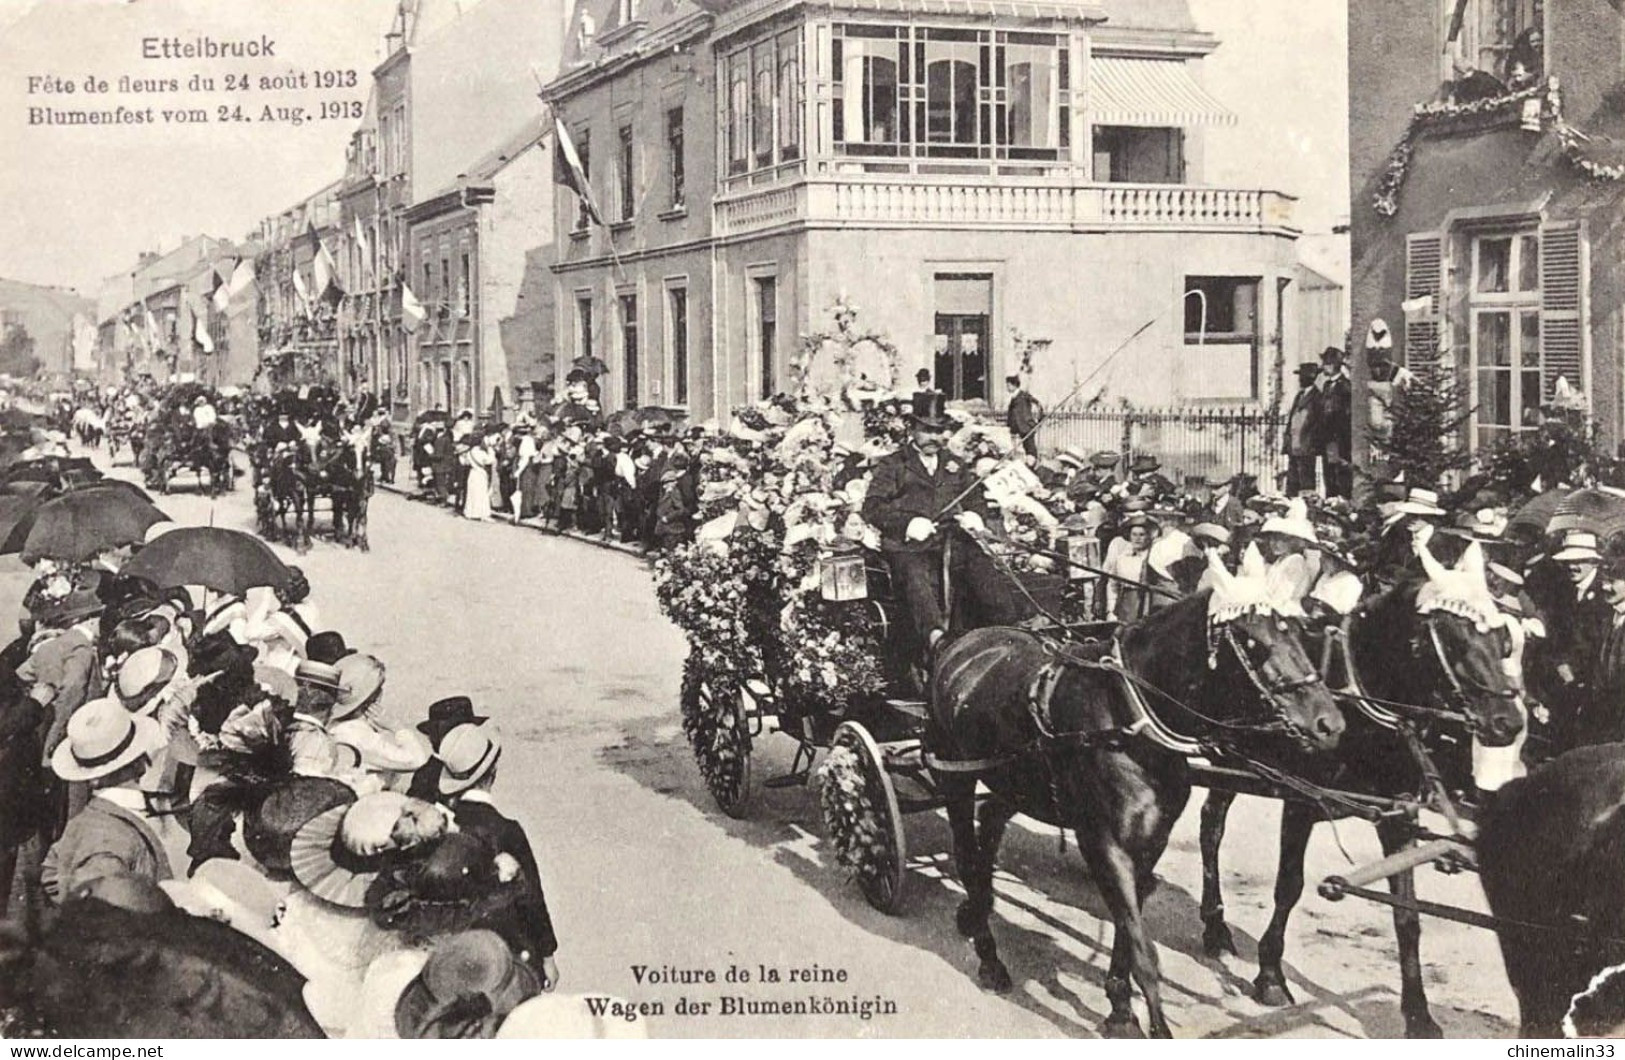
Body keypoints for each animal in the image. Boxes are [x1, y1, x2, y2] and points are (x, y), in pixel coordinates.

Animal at [929, 591, 1345, 1040]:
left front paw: (1120, 1008)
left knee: (990, 819)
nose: (1330, 723)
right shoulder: (1104, 843)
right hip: (954, 774)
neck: (1128, 719)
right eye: (1253, 642)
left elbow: (1127, 934)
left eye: (1302, 632)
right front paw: (1150, 1024)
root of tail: (962, 642)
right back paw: (988, 955)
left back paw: (977, 909)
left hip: (1015, 779)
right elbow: (1143, 951)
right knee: (967, 853)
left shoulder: (1151, 841)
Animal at [1196, 575, 1521, 1040]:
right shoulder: (1301, 798)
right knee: (1211, 827)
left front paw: (1418, 1014)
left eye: (1502, 639)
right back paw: (1215, 925)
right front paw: (1271, 976)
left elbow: (1407, 914)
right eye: (1456, 640)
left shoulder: (1399, 814)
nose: (1509, 723)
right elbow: (1288, 886)